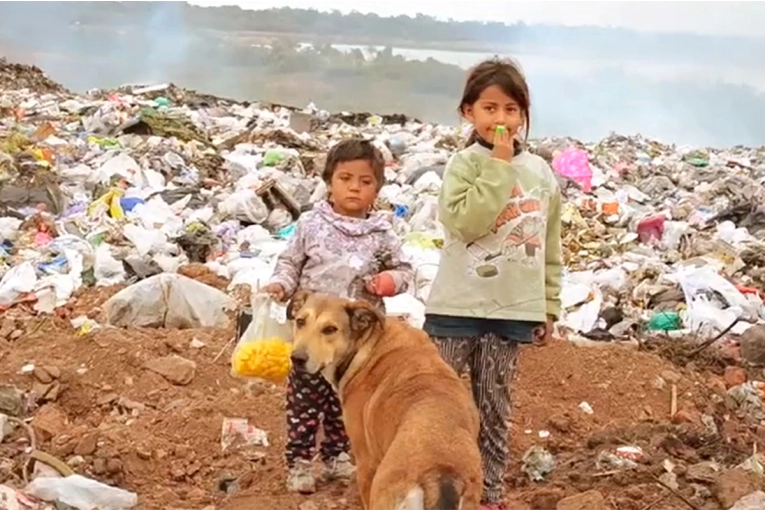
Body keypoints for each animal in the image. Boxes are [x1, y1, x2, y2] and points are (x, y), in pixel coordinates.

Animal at [286, 290, 484, 510]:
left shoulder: (366, 464)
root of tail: (440, 474)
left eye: (330, 329)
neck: (367, 343)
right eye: (300, 321)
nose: (297, 358)